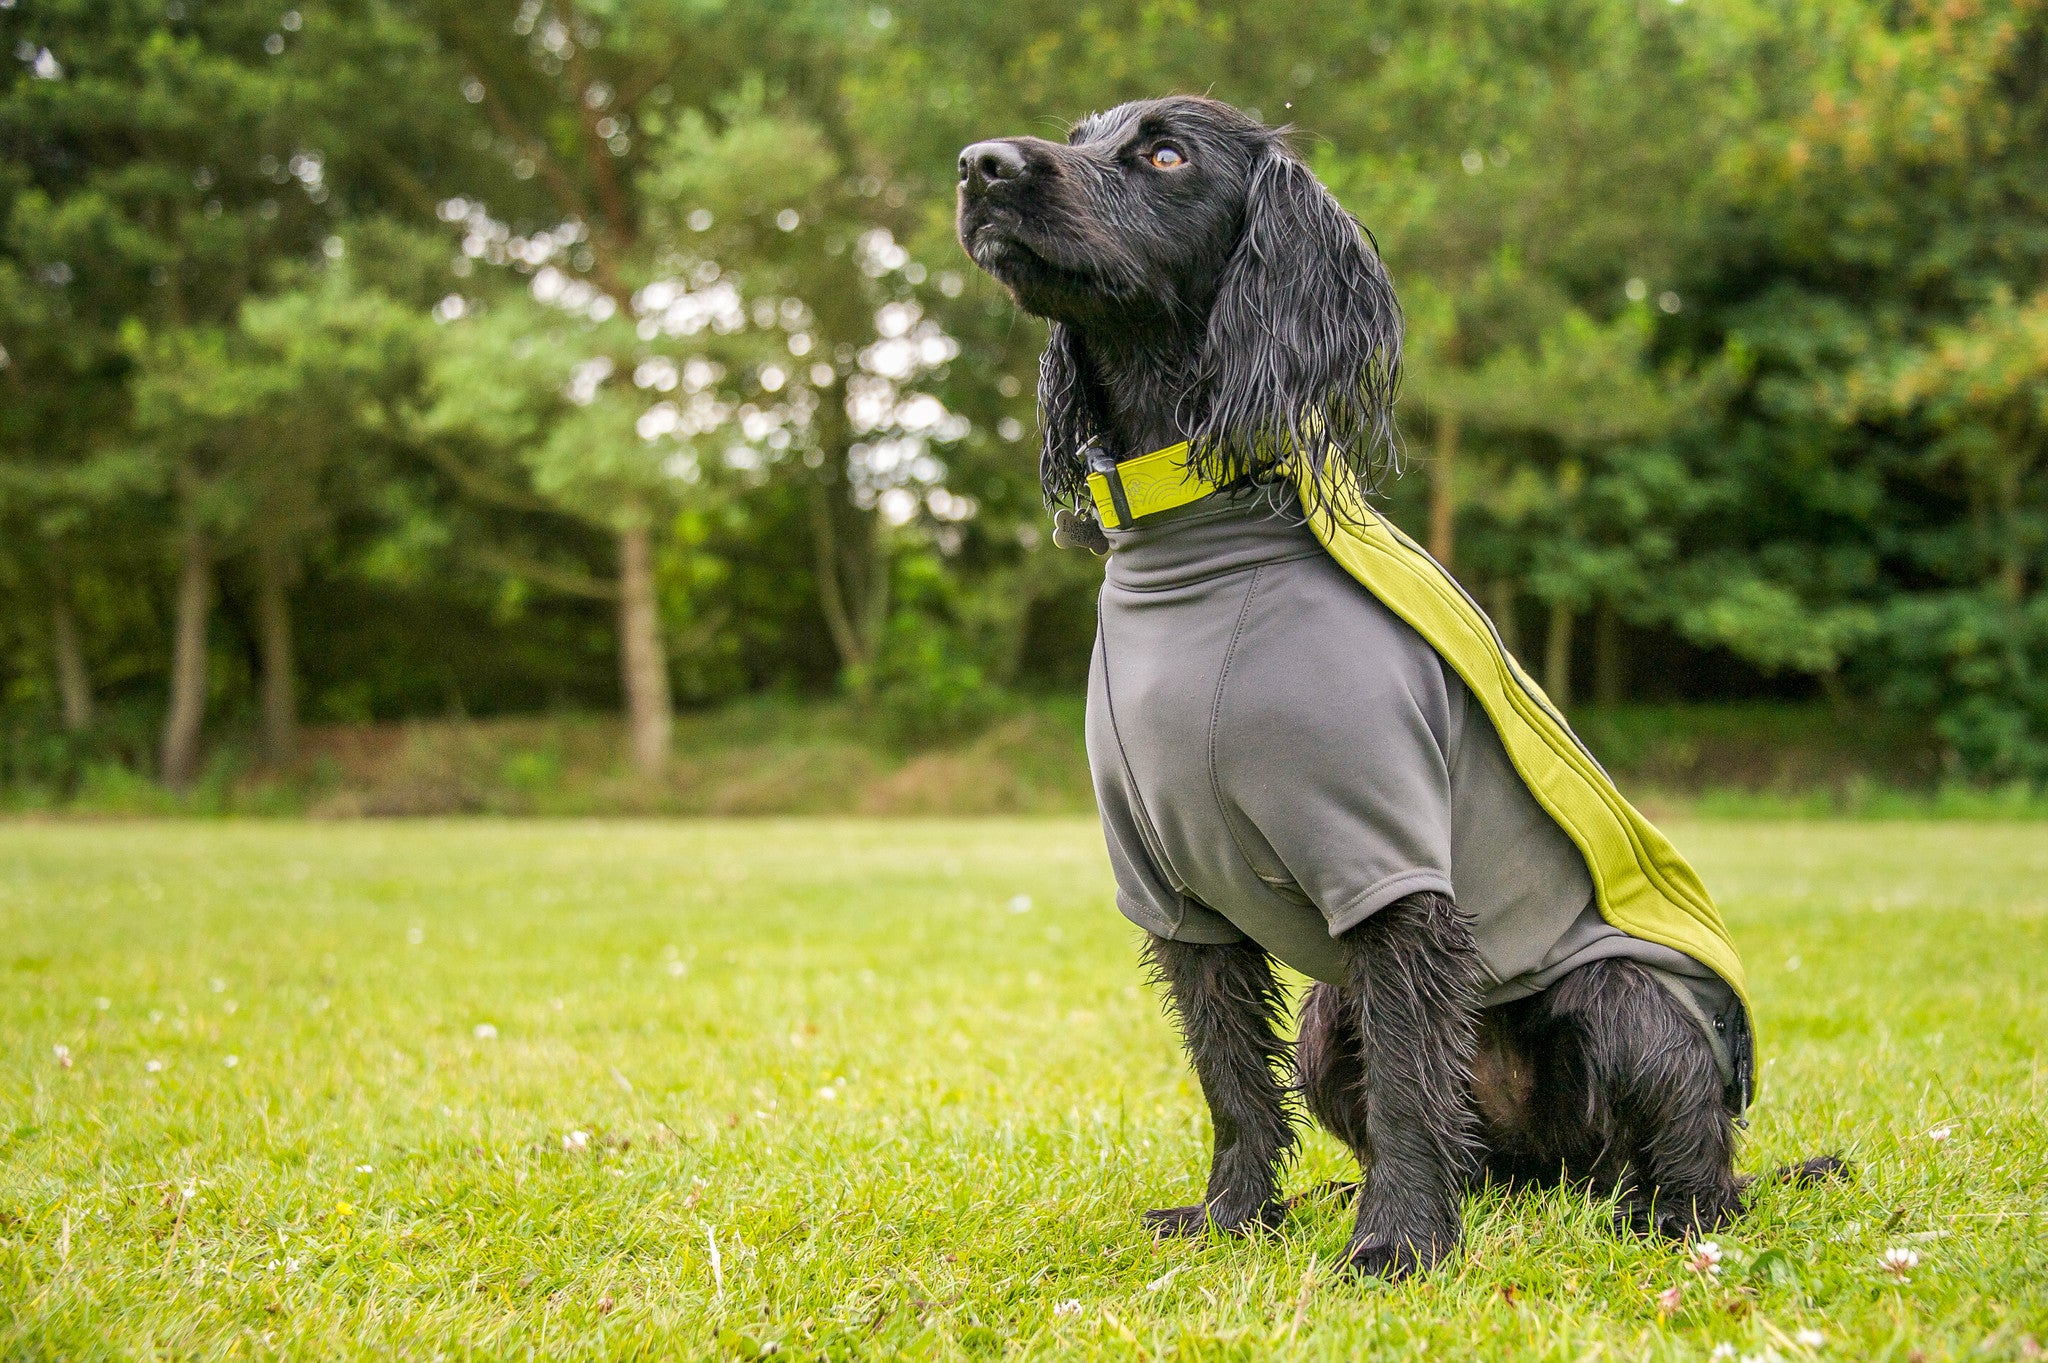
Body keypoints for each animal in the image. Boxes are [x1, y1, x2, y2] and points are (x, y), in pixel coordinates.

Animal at [958, 95, 1843, 1277]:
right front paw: (1234, 1216)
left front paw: (1398, 1243)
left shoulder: (1392, 870)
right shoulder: (1173, 891)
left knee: (1689, 1155)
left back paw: (1661, 1214)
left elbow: (1415, 1083)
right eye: (1078, 134)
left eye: (1165, 154)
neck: (1196, 550)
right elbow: (1231, 1079)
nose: (979, 166)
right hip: (1330, 1020)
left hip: (1619, 999)